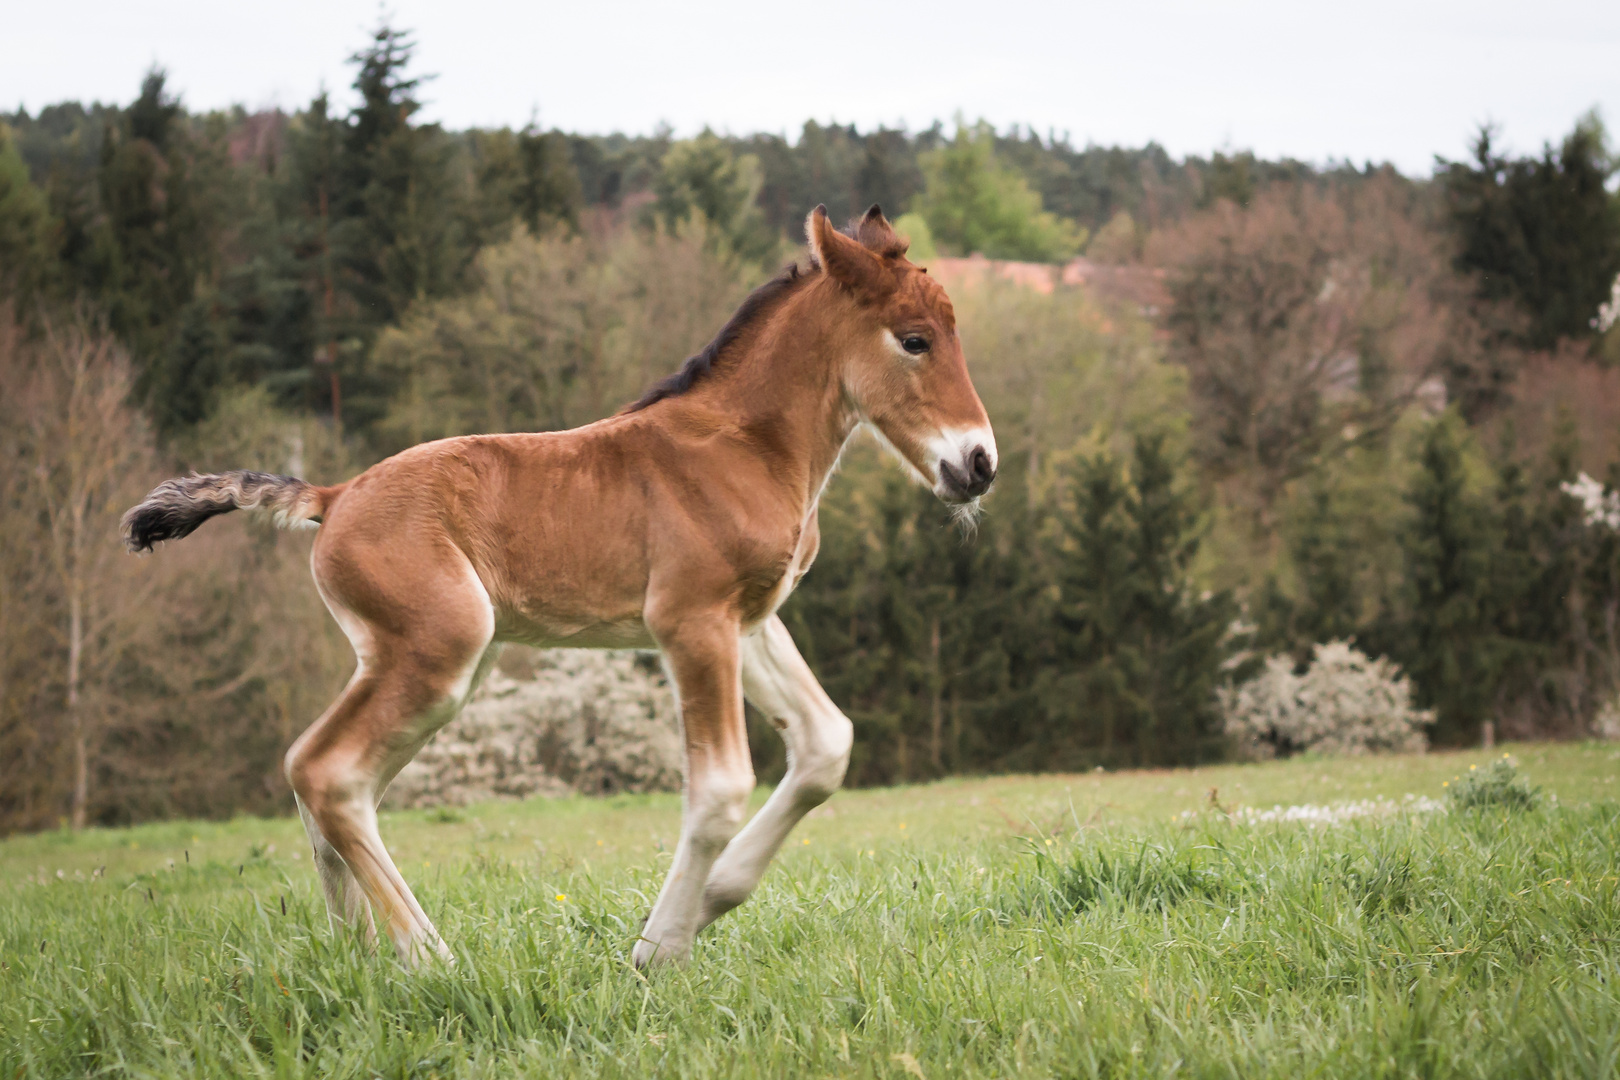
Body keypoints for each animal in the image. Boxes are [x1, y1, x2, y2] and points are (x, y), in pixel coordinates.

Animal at [119, 207, 991, 965]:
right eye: (914, 340)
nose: (978, 463)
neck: (743, 445)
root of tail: (333, 497)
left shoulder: (750, 619)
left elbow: (825, 747)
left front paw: (715, 898)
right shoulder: (691, 621)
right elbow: (719, 788)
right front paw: (657, 950)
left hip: (431, 666)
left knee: (323, 771)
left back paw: (354, 953)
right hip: (437, 652)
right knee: (327, 772)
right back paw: (429, 960)